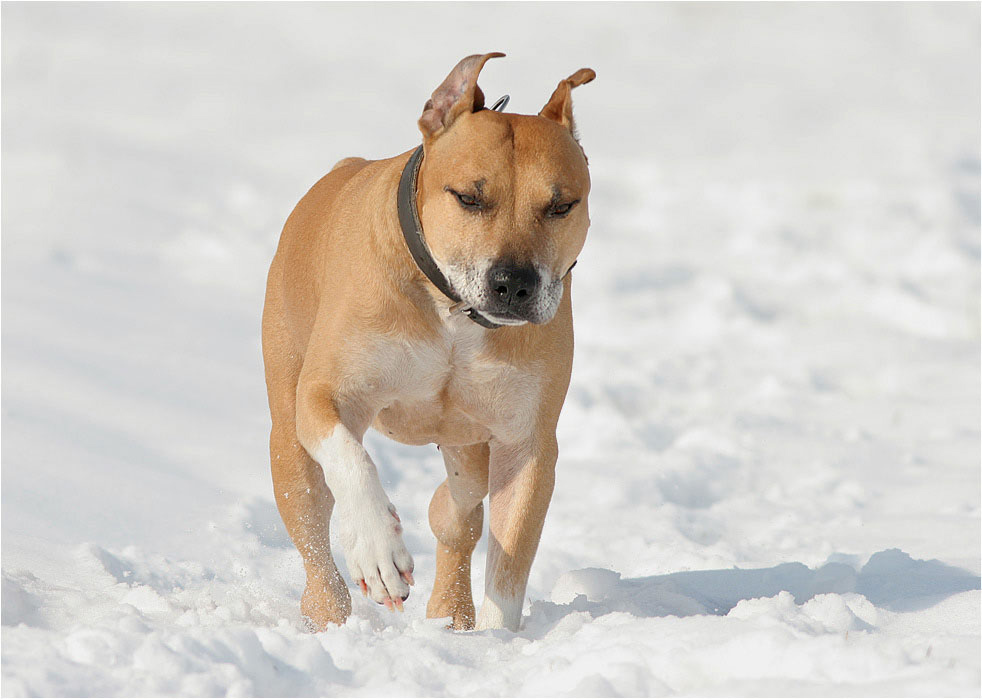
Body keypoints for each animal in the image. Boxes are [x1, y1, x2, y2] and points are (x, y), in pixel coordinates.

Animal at [262, 53, 596, 636]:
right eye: (468, 197)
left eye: (561, 206)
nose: (514, 283)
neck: (453, 311)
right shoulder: (327, 393)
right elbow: (350, 456)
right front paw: (378, 550)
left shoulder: (526, 441)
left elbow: (510, 560)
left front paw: (494, 639)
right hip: (289, 436)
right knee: (312, 528)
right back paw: (330, 615)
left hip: (469, 444)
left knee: (458, 511)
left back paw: (450, 614)